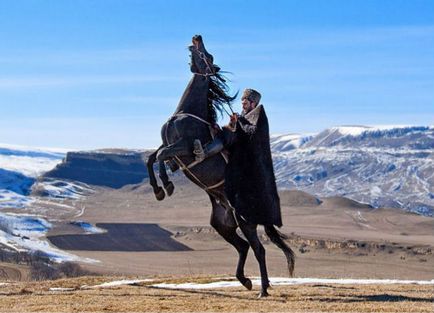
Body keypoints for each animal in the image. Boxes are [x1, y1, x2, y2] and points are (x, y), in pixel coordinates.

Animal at [147, 35, 294, 296]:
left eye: (209, 54)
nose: (197, 37)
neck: (184, 113)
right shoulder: (167, 145)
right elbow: (151, 157)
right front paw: (158, 190)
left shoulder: (183, 149)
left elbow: (162, 155)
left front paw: (166, 186)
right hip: (222, 225)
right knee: (243, 247)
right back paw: (246, 281)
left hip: (245, 222)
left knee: (258, 249)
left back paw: (262, 289)